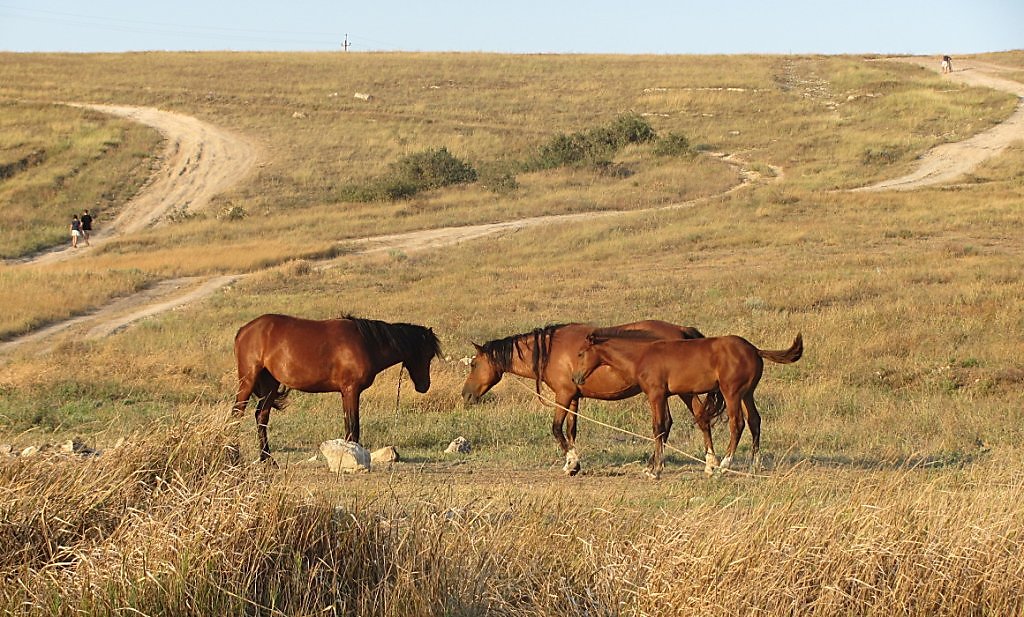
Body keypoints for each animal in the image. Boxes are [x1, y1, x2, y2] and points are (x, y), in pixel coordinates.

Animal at [232, 317, 440, 460]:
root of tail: (244, 330)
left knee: (261, 417)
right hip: (248, 381)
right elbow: (354, 426)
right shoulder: (351, 390)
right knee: (237, 413)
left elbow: (349, 426)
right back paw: (234, 456)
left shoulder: (345, 393)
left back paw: (267, 459)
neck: (366, 343)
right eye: (427, 354)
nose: (424, 386)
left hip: (270, 384)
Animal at [460, 321, 724, 474]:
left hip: (680, 391)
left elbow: (556, 428)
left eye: (473, 364)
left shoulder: (563, 395)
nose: (465, 394)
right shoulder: (574, 397)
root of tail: (683, 331)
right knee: (692, 420)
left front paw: (572, 463)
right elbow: (571, 429)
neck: (550, 351)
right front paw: (573, 462)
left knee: (682, 422)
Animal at [569, 331, 798, 480]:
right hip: (747, 394)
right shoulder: (664, 396)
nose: (575, 378)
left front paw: (656, 470)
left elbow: (658, 428)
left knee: (738, 424)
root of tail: (755, 350)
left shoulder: (656, 394)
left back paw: (724, 466)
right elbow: (664, 426)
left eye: (580, 353)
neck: (641, 357)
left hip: (732, 392)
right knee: (754, 421)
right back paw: (754, 465)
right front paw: (652, 467)